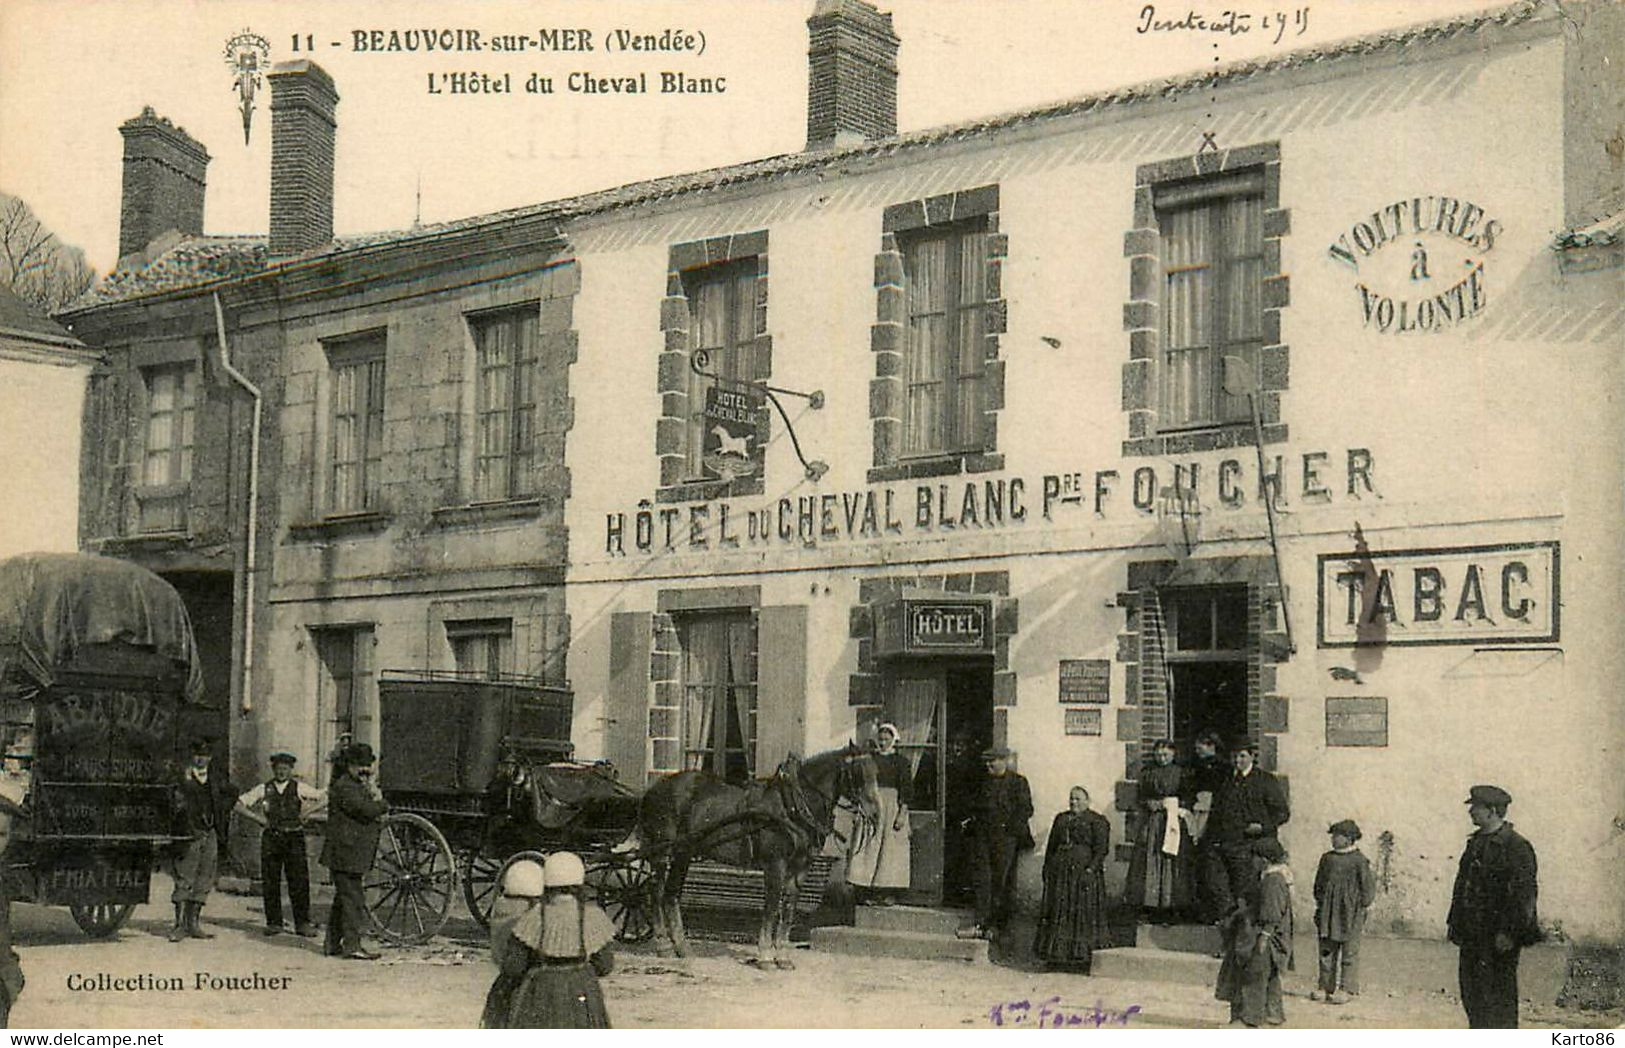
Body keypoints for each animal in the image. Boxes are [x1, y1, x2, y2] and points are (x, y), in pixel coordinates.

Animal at [630, 740, 877, 968]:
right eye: (858, 773)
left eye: (876, 772)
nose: (875, 814)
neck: (792, 806)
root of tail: (652, 790)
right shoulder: (775, 864)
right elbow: (771, 908)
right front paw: (766, 956)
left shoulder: (800, 868)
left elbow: (788, 909)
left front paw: (782, 956)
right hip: (663, 852)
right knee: (657, 894)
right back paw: (663, 945)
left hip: (684, 853)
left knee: (671, 895)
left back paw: (682, 947)